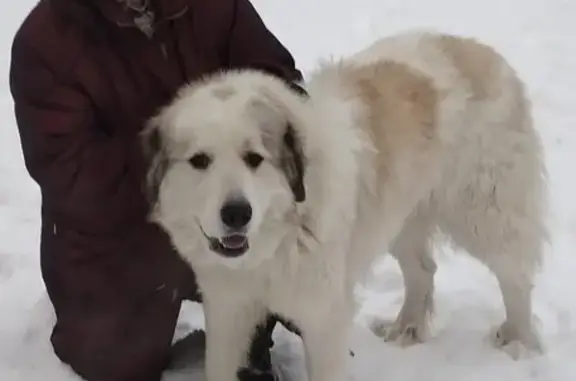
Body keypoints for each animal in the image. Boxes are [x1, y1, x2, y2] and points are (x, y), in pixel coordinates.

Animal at [142, 30, 548, 381]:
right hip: (401, 217)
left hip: (485, 211)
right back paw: (406, 328)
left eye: (254, 158)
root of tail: (478, 49)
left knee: (516, 276)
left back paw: (518, 340)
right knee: (423, 269)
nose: (237, 214)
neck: (279, 234)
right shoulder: (228, 308)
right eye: (200, 161)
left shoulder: (323, 318)